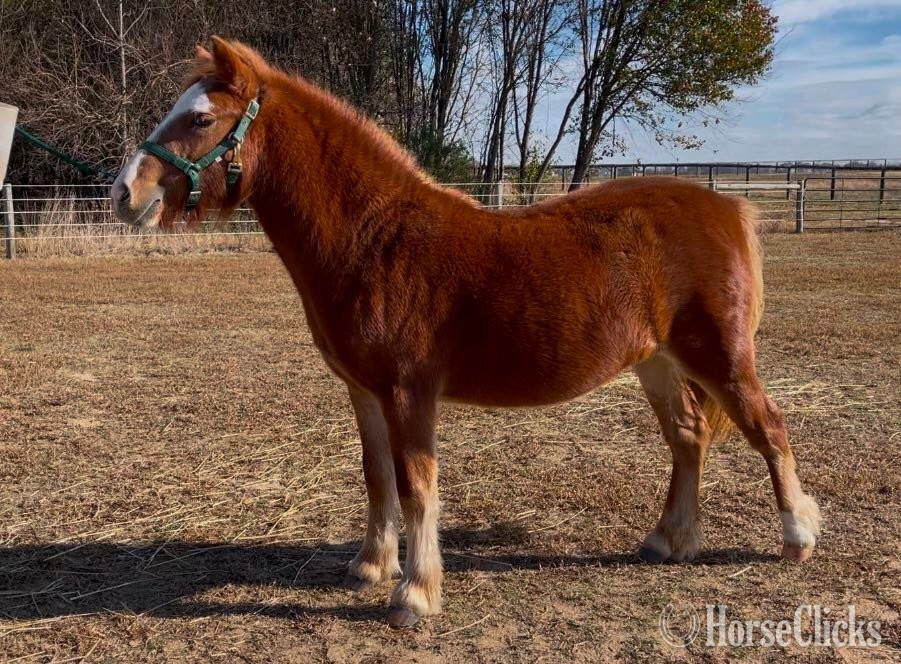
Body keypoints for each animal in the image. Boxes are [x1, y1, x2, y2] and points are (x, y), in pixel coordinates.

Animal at [110, 37, 822, 628]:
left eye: (201, 119)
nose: (124, 194)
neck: (374, 240)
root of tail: (727, 205)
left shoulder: (409, 393)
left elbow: (417, 484)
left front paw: (415, 596)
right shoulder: (364, 392)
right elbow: (377, 476)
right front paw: (371, 567)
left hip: (720, 357)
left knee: (768, 426)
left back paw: (796, 536)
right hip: (658, 362)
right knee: (689, 435)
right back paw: (668, 540)